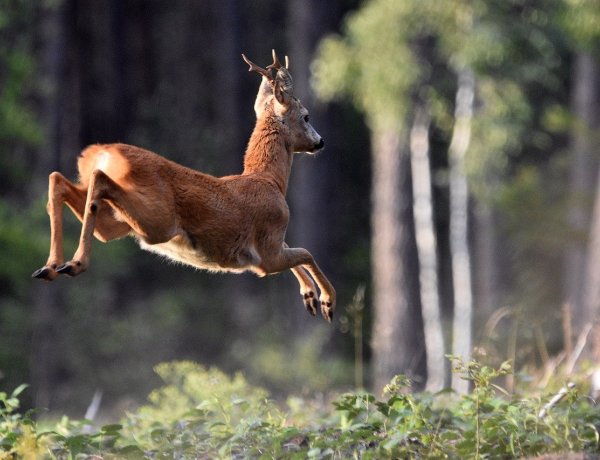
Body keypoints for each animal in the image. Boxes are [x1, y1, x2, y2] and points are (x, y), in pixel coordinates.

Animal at [32, 50, 336, 322]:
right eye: (306, 116)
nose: (321, 142)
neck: (269, 180)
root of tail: (102, 152)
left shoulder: (271, 248)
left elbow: (299, 252)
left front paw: (309, 296)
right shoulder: (267, 251)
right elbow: (306, 253)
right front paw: (326, 301)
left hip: (120, 224)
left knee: (59, 180)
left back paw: (51, 267)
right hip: (157, 220)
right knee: (97, 179)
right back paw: (75, 263)